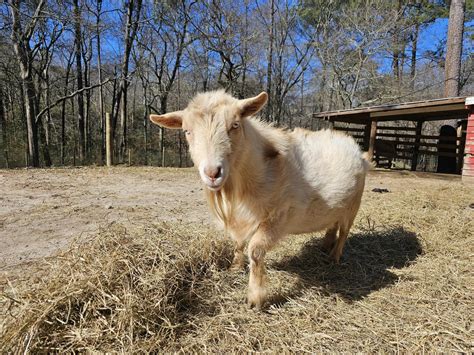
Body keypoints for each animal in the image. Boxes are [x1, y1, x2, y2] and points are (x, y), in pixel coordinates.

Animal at [149, 90, 370, 310]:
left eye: (235, 125)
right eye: (187, 131)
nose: (212, 173)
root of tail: (358, 151)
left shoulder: (278, 217)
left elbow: (255, 250)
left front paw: (255, 297)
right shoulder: (241, 215)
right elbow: (238, 242)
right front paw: (235, 267)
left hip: (354, 204)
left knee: (344, 231)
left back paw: (334, 257)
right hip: (338, 205)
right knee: (333, 224)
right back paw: (326, 245)